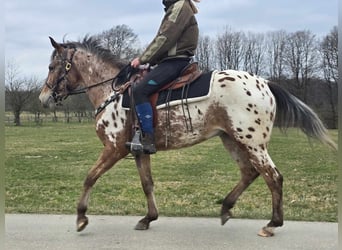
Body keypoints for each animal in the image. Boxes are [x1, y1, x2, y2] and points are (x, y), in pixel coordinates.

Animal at [38, 35, 336, 236]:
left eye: (52, 67)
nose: (43, 97)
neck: (115, 92)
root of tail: (264, 83)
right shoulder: (138, 151)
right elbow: (147, 184)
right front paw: (148, 218)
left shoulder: (114, 149)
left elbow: (90, 177)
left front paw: (81, 217)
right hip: (231, 139)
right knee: (249, 173)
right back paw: (226, 208)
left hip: (253, 143)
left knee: (273, 177)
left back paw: (272, 224)